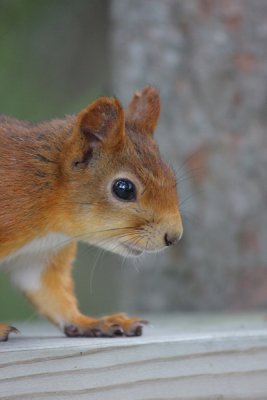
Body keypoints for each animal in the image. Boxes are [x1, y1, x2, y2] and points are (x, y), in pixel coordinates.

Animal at [0, 85, 183, 340]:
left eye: (171, 177)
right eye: (123, 189)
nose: (174, 236)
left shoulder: (38, 256)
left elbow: (51, 294)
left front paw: (95, 322)